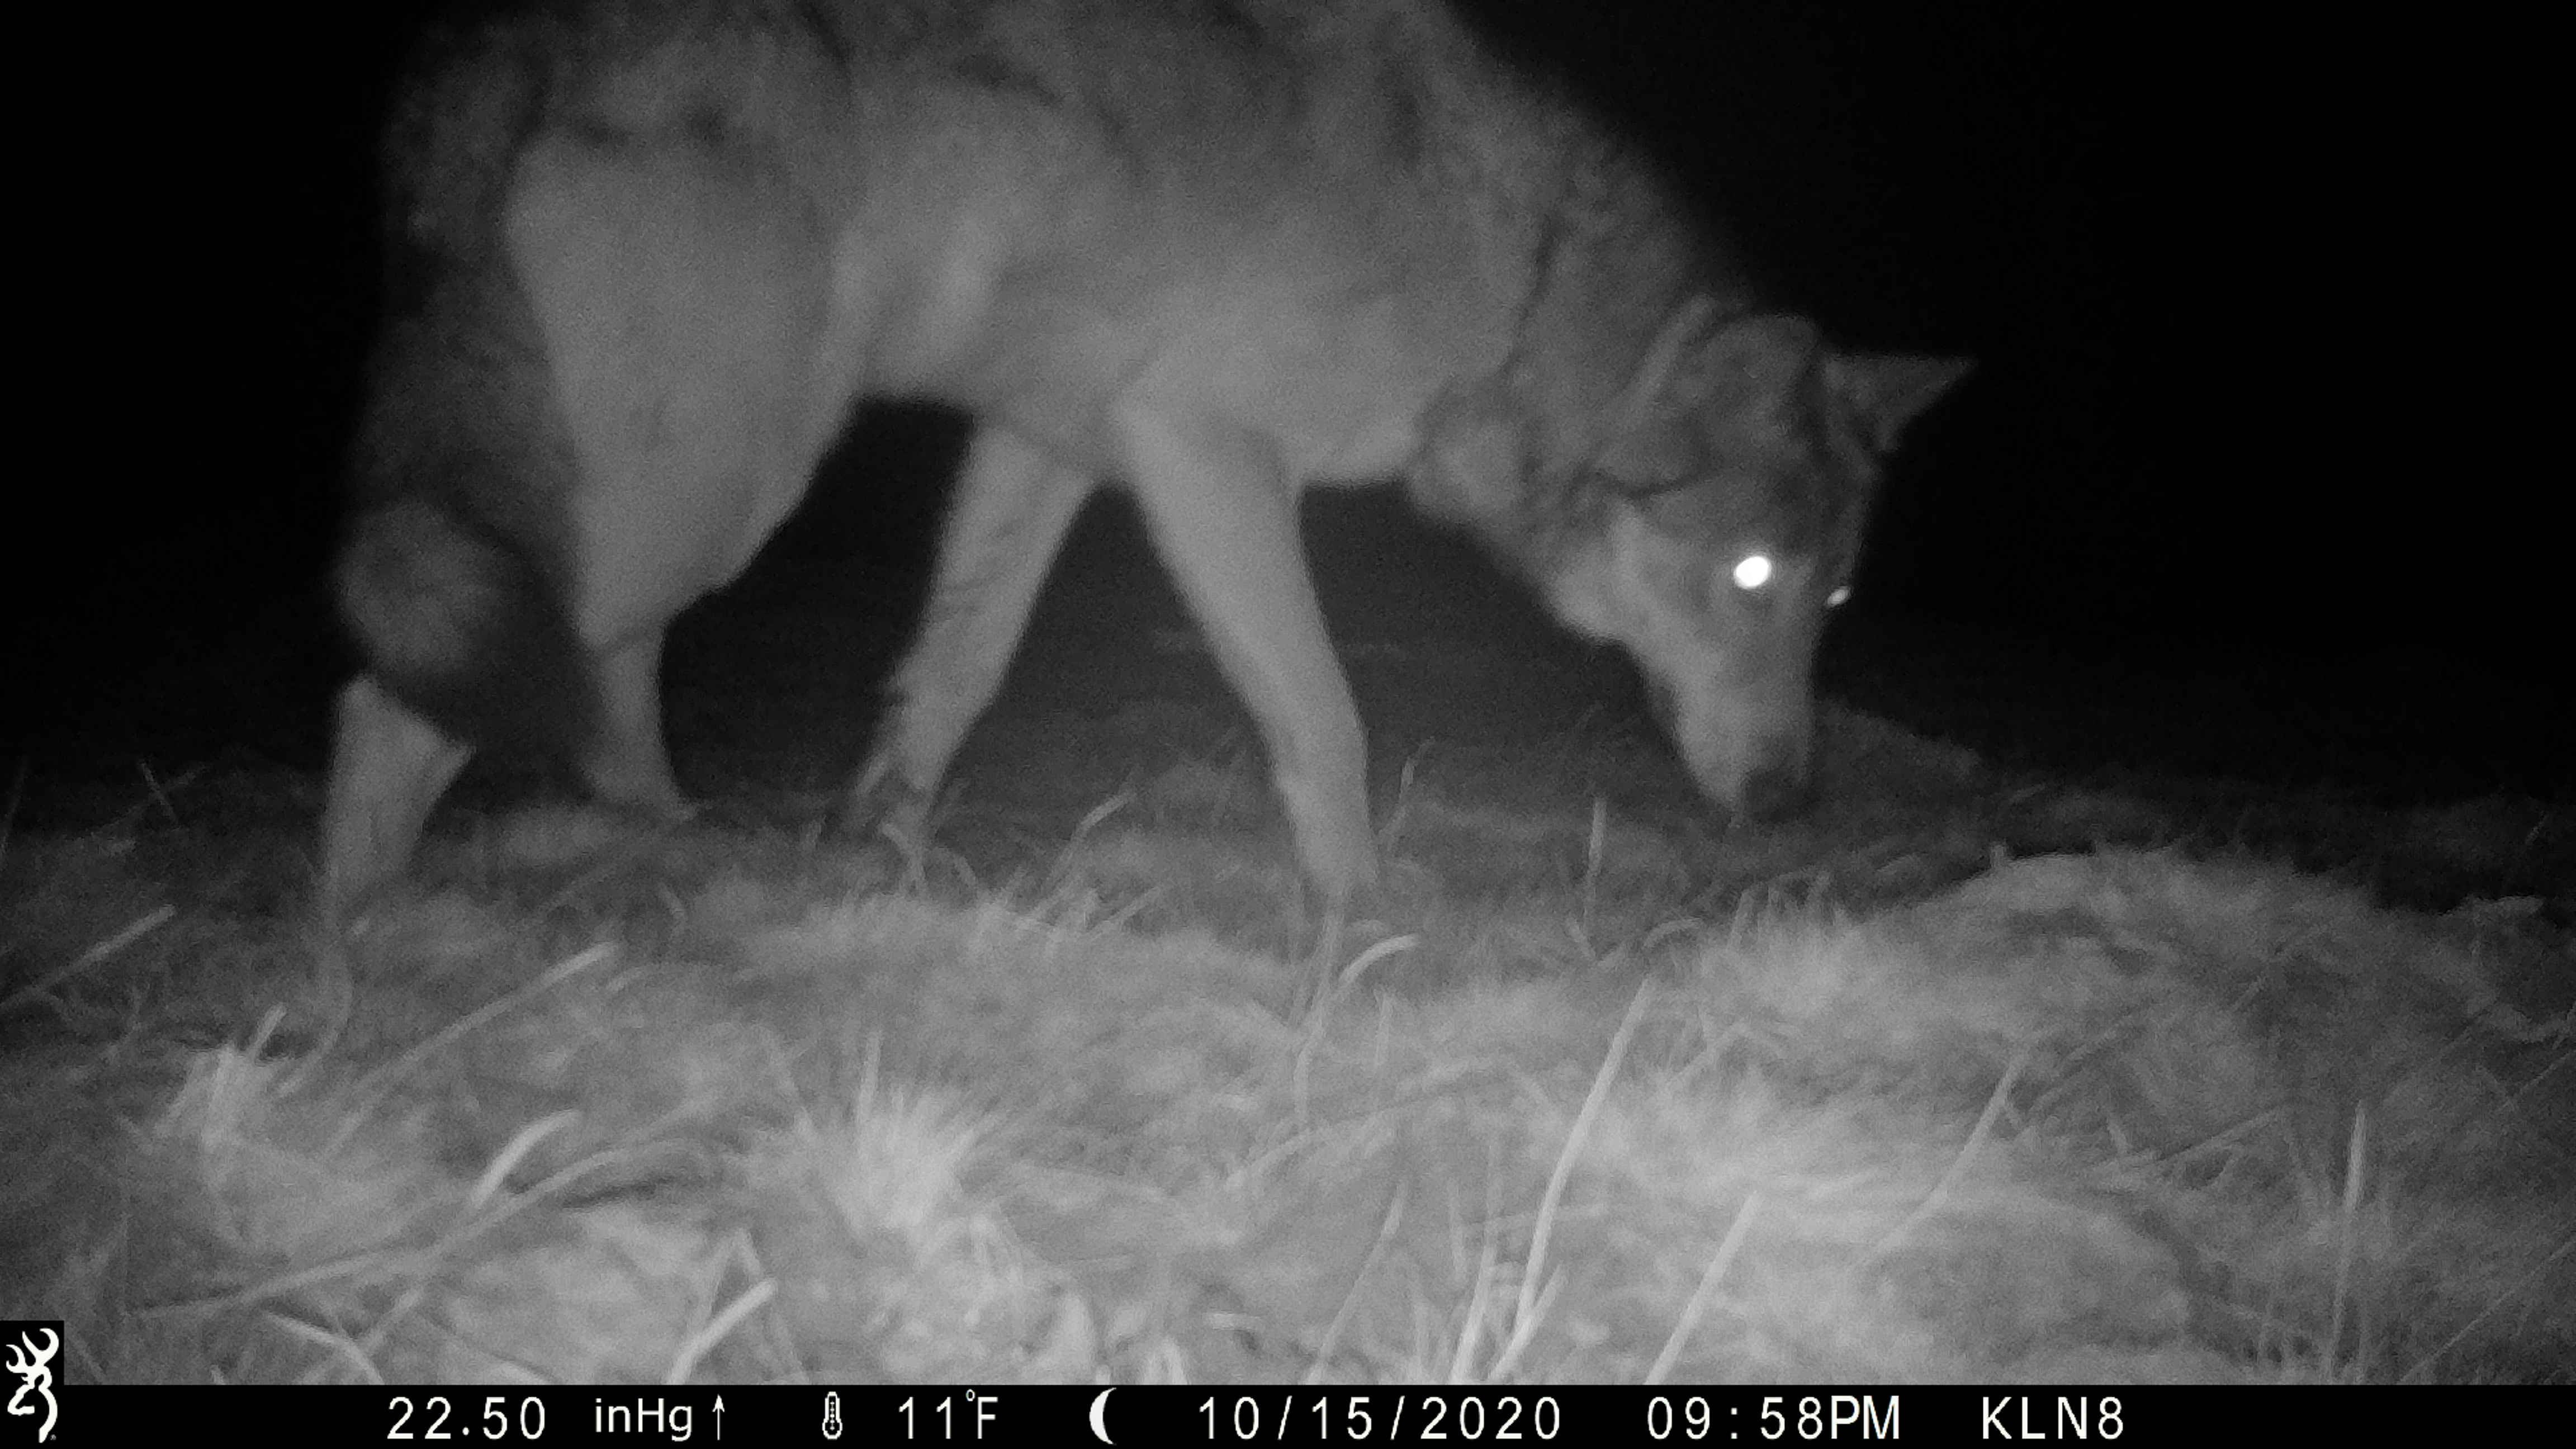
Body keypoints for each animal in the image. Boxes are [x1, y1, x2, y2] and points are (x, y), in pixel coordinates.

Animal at [322, 0, 1968, 907]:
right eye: (1750, 574)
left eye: (1830, 599)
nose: (1790, 806)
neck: (1511, 278)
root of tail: (483, 50)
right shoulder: (1203, 451)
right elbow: (1327, 716)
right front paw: (1369, 919)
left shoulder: (1047, 444)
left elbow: (956, 674)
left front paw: (880, 855)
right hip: (708, 485)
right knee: (394, 702)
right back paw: (356, 947)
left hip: (684, 487)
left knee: (607, 683)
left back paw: (673, 852)